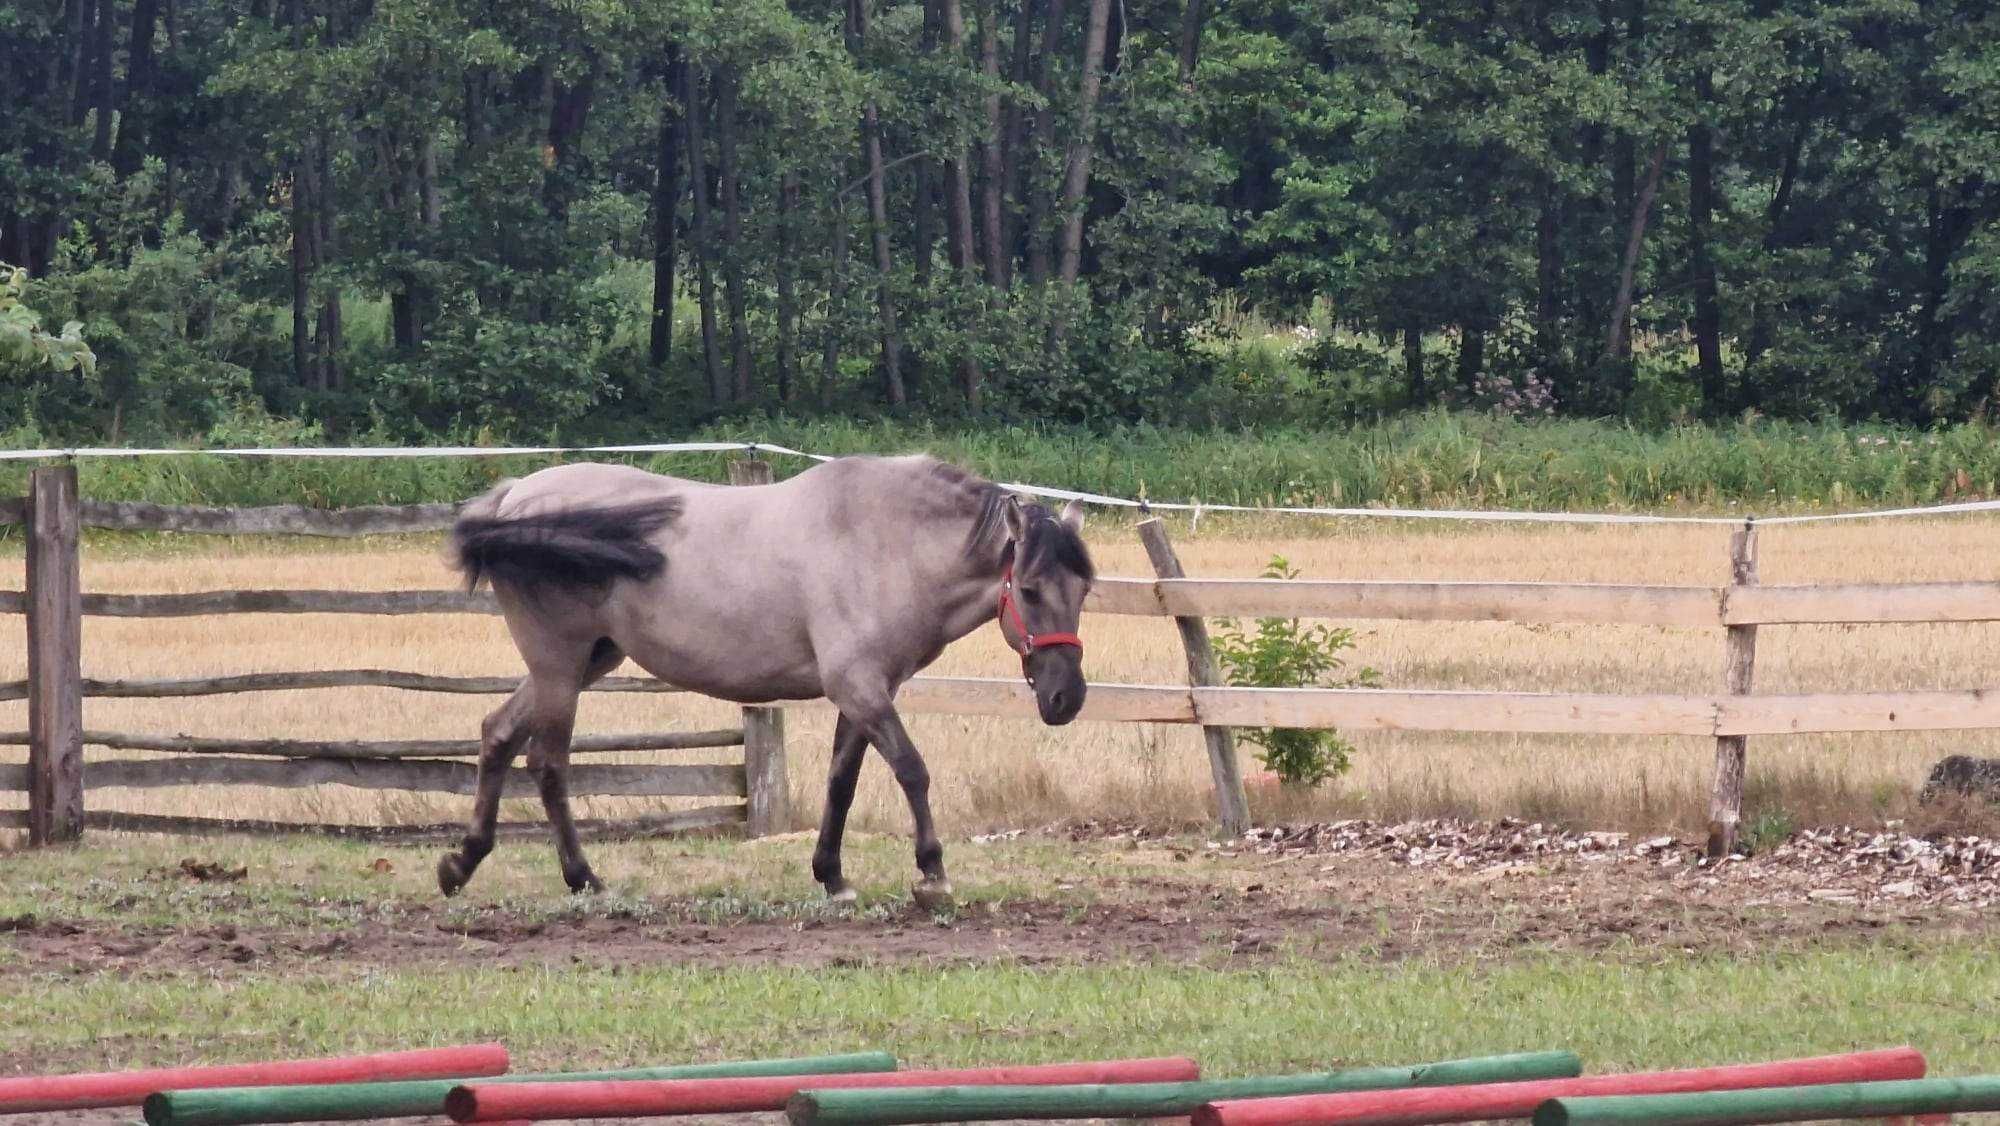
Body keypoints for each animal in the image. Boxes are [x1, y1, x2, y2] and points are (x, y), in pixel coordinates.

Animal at [438, 454, 1104, 912]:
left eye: (1084, 590)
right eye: (1030, 590)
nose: (1065, 699)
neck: (885, 542)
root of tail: (513, 499)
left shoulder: (865, 692)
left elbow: (842, 781)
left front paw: (832, 875)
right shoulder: (859, 686)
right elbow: (911, 769)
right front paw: (932, 872)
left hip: (583, 663)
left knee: (497, 734)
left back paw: (462, 864)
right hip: (559, 667)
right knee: (548, 763)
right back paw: (583, 878)